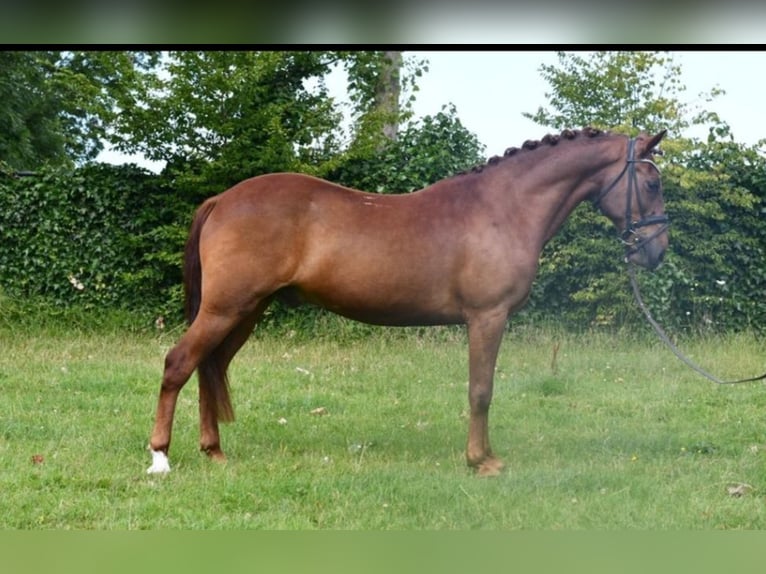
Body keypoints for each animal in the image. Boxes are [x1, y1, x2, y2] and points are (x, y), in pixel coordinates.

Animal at [147, 128, 668, 480]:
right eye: (652, 183)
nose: (657, 251)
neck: (504, 208)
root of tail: (222, 199)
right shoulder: (487, 318)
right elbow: (481, 391)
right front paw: (481, 461)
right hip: (226, 309)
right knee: (179, 363)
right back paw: (160, 457)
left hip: (245, 312)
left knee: (210, 366)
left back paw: (214, 451)